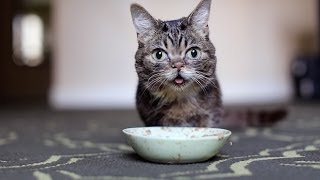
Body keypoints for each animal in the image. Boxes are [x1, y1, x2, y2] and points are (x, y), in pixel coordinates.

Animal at [130, 0, 288, 128]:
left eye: (193, 52)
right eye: (159, 54)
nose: (178, 65)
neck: (182, 103)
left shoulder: (211, 113)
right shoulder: (153, 119)